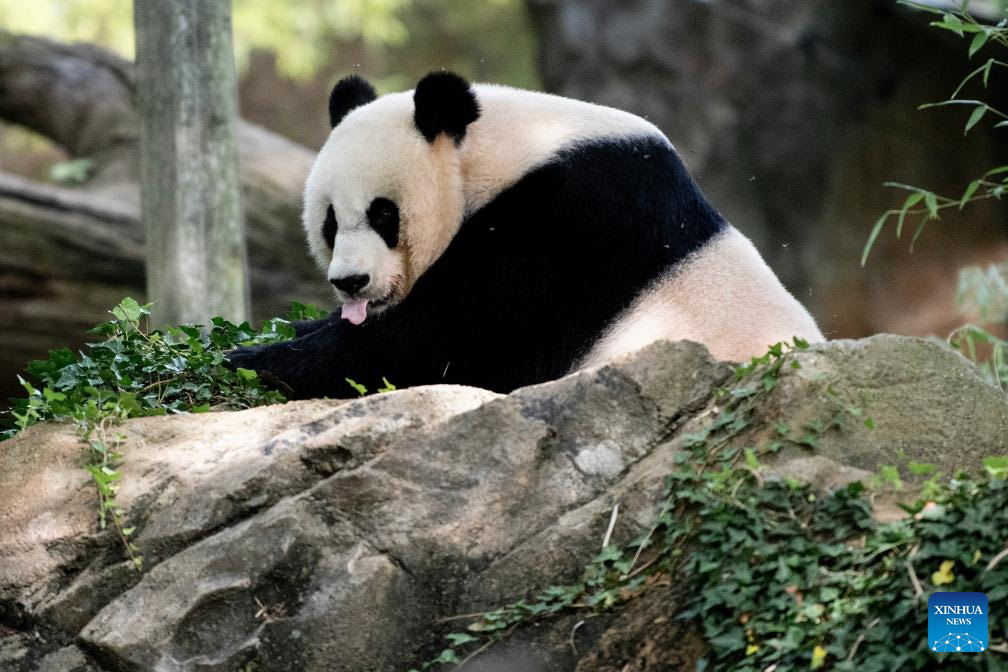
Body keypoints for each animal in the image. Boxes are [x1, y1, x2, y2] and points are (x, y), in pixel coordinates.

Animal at [226, 72, 818, 398]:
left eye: (383, 215)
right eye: (329, 222)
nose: (351, 282)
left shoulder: (563, 223)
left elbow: (441, 342)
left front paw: (255, 361)